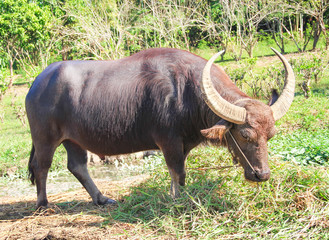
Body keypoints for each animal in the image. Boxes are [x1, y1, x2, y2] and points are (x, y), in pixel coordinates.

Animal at [25, 47, 292, 208]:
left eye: (270, 135)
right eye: (245, 135)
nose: (262, 175)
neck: (186, 91)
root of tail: (36, 83)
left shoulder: (184, 143)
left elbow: (180, 173)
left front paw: (179, 194)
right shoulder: (168, 141)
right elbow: (177, 171)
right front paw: (177, 200)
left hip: (74, 140)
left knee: (77, 166)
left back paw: (102, 198)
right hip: (45, 138)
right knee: (41, 166)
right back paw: (43, 204)